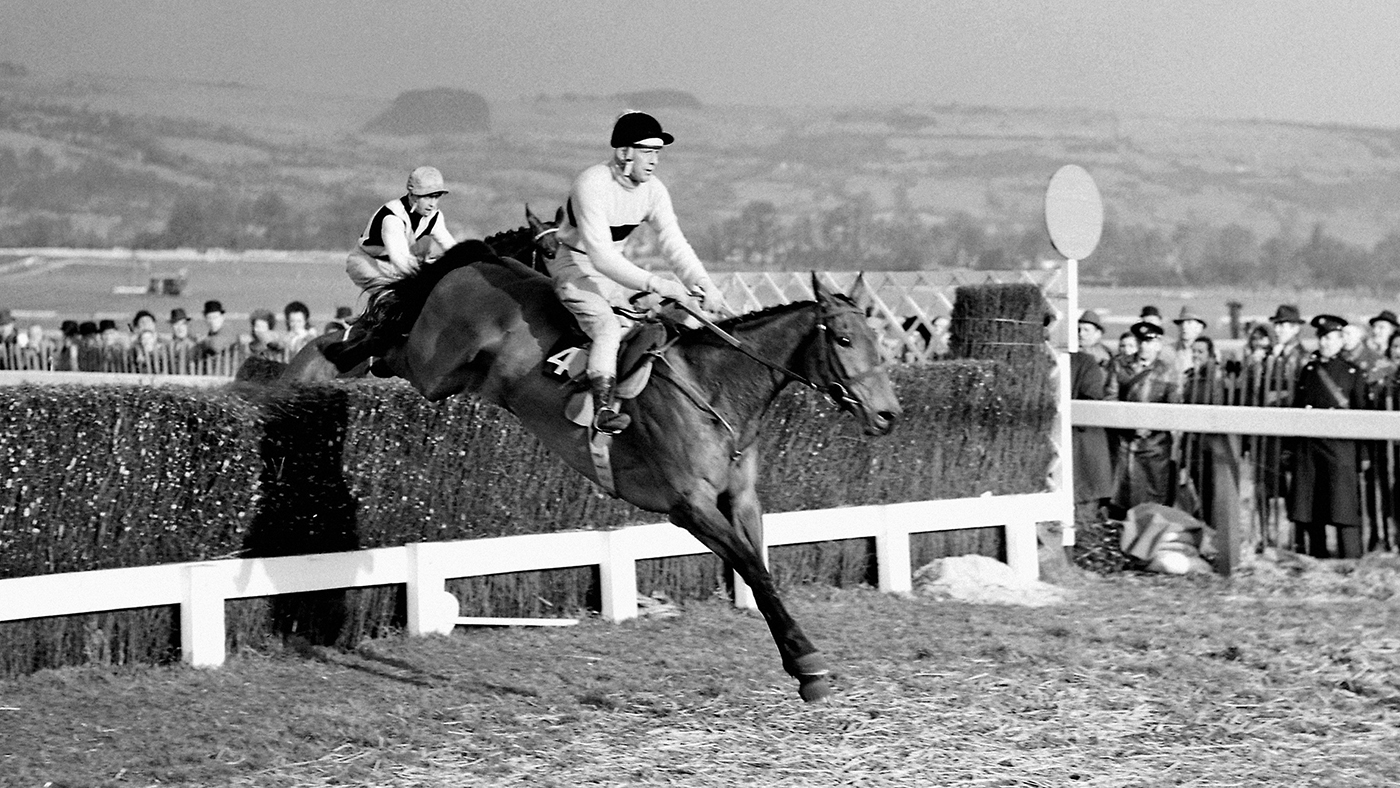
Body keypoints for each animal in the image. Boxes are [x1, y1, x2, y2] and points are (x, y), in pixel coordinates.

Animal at [372, 216, 901, 702]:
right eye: (844, 339)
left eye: (877, 339)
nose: (889, 414)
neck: (715, 390)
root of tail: (482, 261)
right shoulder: (690, 507)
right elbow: (754, 571)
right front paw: (808, 663)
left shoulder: (741, 499)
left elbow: (760, 570)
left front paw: (799, 660)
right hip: (432, 368)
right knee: (390, 349)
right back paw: (364, 337)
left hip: (455, 377)